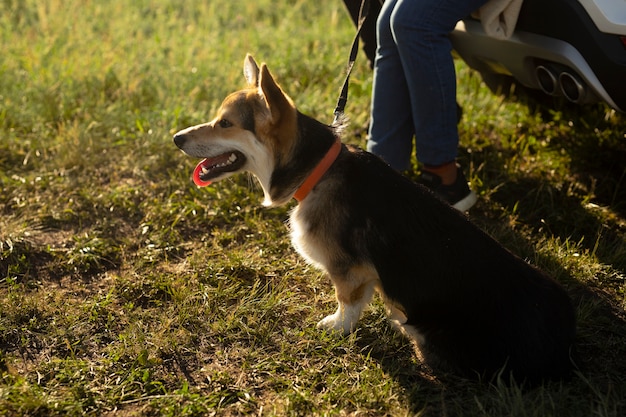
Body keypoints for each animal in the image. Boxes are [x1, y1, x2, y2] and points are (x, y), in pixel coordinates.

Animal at [172, 55, 576, 384]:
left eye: (225, 123)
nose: (176, 138)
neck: (315, 171)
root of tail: (561, 356)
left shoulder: (349, 269)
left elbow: (347, 300)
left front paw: (336, 328)